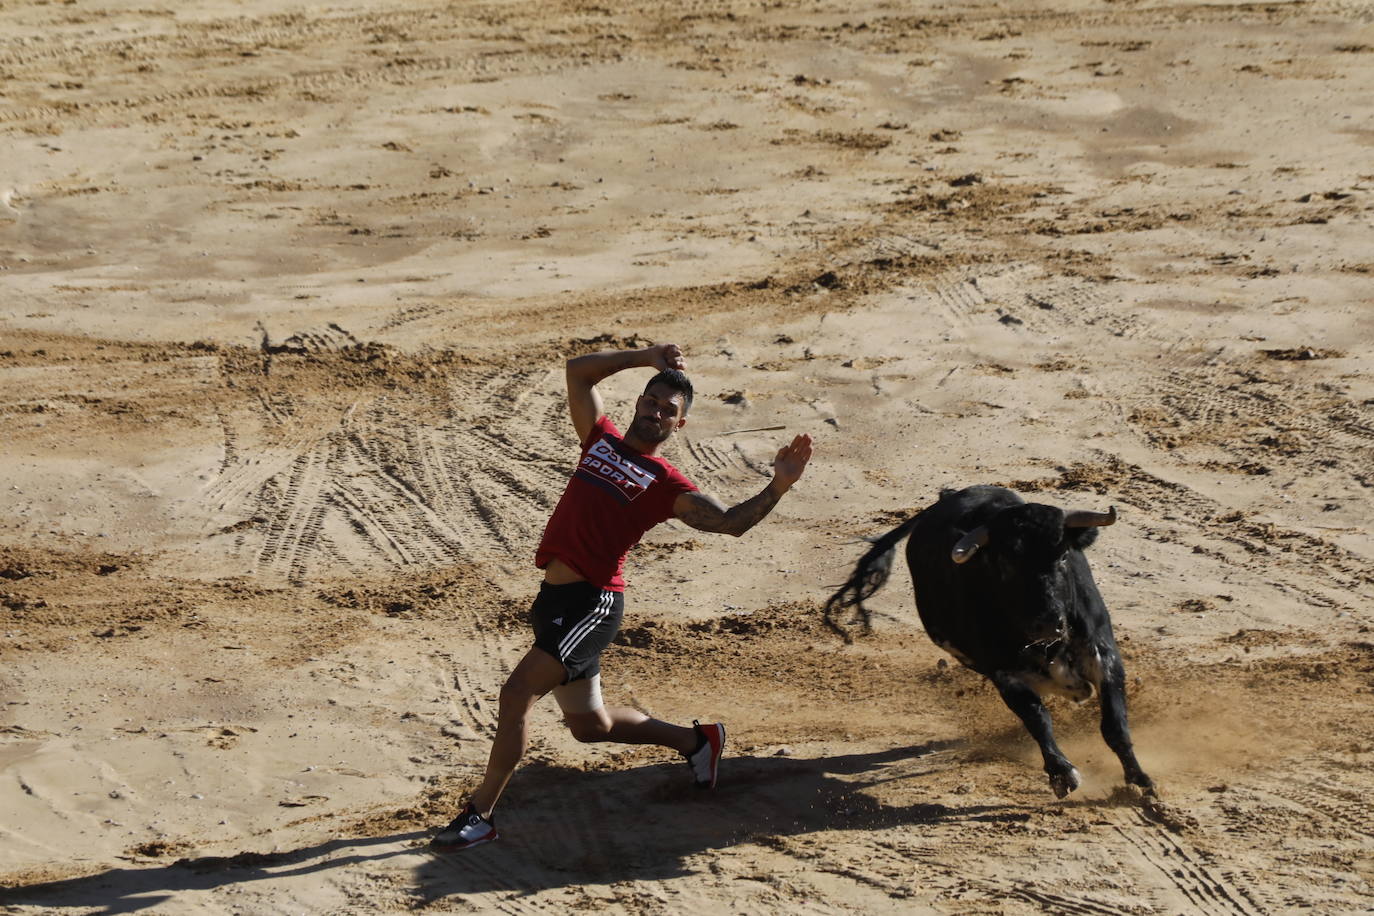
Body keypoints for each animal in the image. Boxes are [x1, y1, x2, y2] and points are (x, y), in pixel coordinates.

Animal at [824, 486, 1148, 796]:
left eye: (1064, 556)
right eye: (1005, 563)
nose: (1047, 623)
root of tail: (946, 496)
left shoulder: (1101, 652)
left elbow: (1115, 724)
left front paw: (1140, 781)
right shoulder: (1002, 673)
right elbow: (1038, 718)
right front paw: (1062, 774)